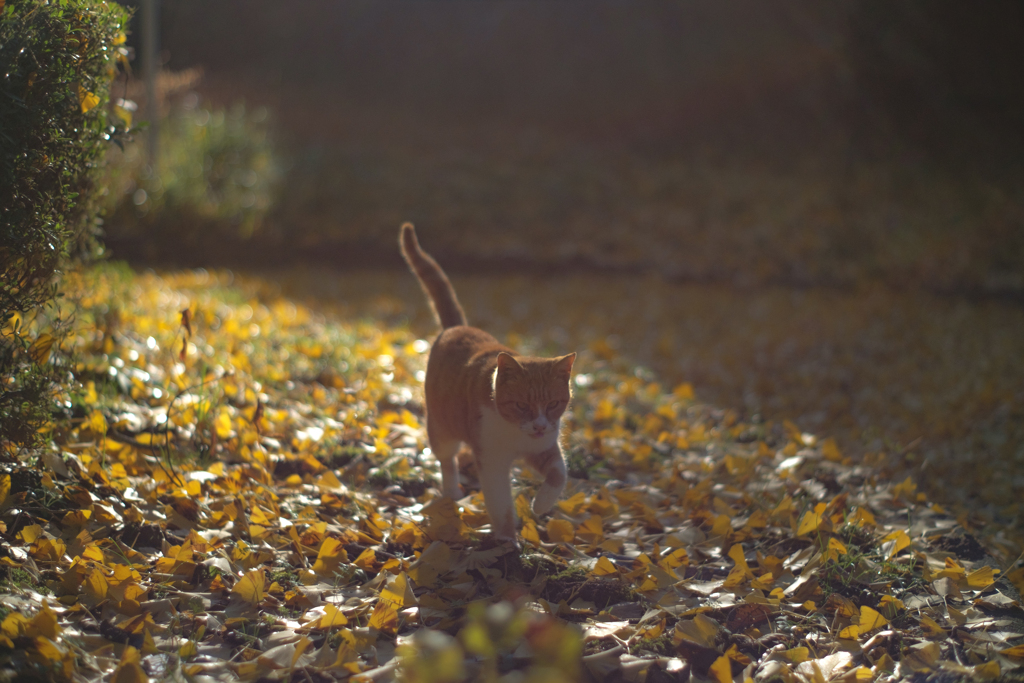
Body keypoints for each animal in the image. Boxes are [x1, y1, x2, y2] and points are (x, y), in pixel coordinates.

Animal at [399, 224, 577, 544]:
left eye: (553, 404)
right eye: (521, 405)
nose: (539, 426)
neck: (515, 433)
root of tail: (457, 326)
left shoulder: (544, 449)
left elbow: (559, 474)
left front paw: (540, 505)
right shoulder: (492, 462)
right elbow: (500, 503)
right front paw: (506, 540)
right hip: (441, 430)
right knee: (447, 460)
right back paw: (452, 493)